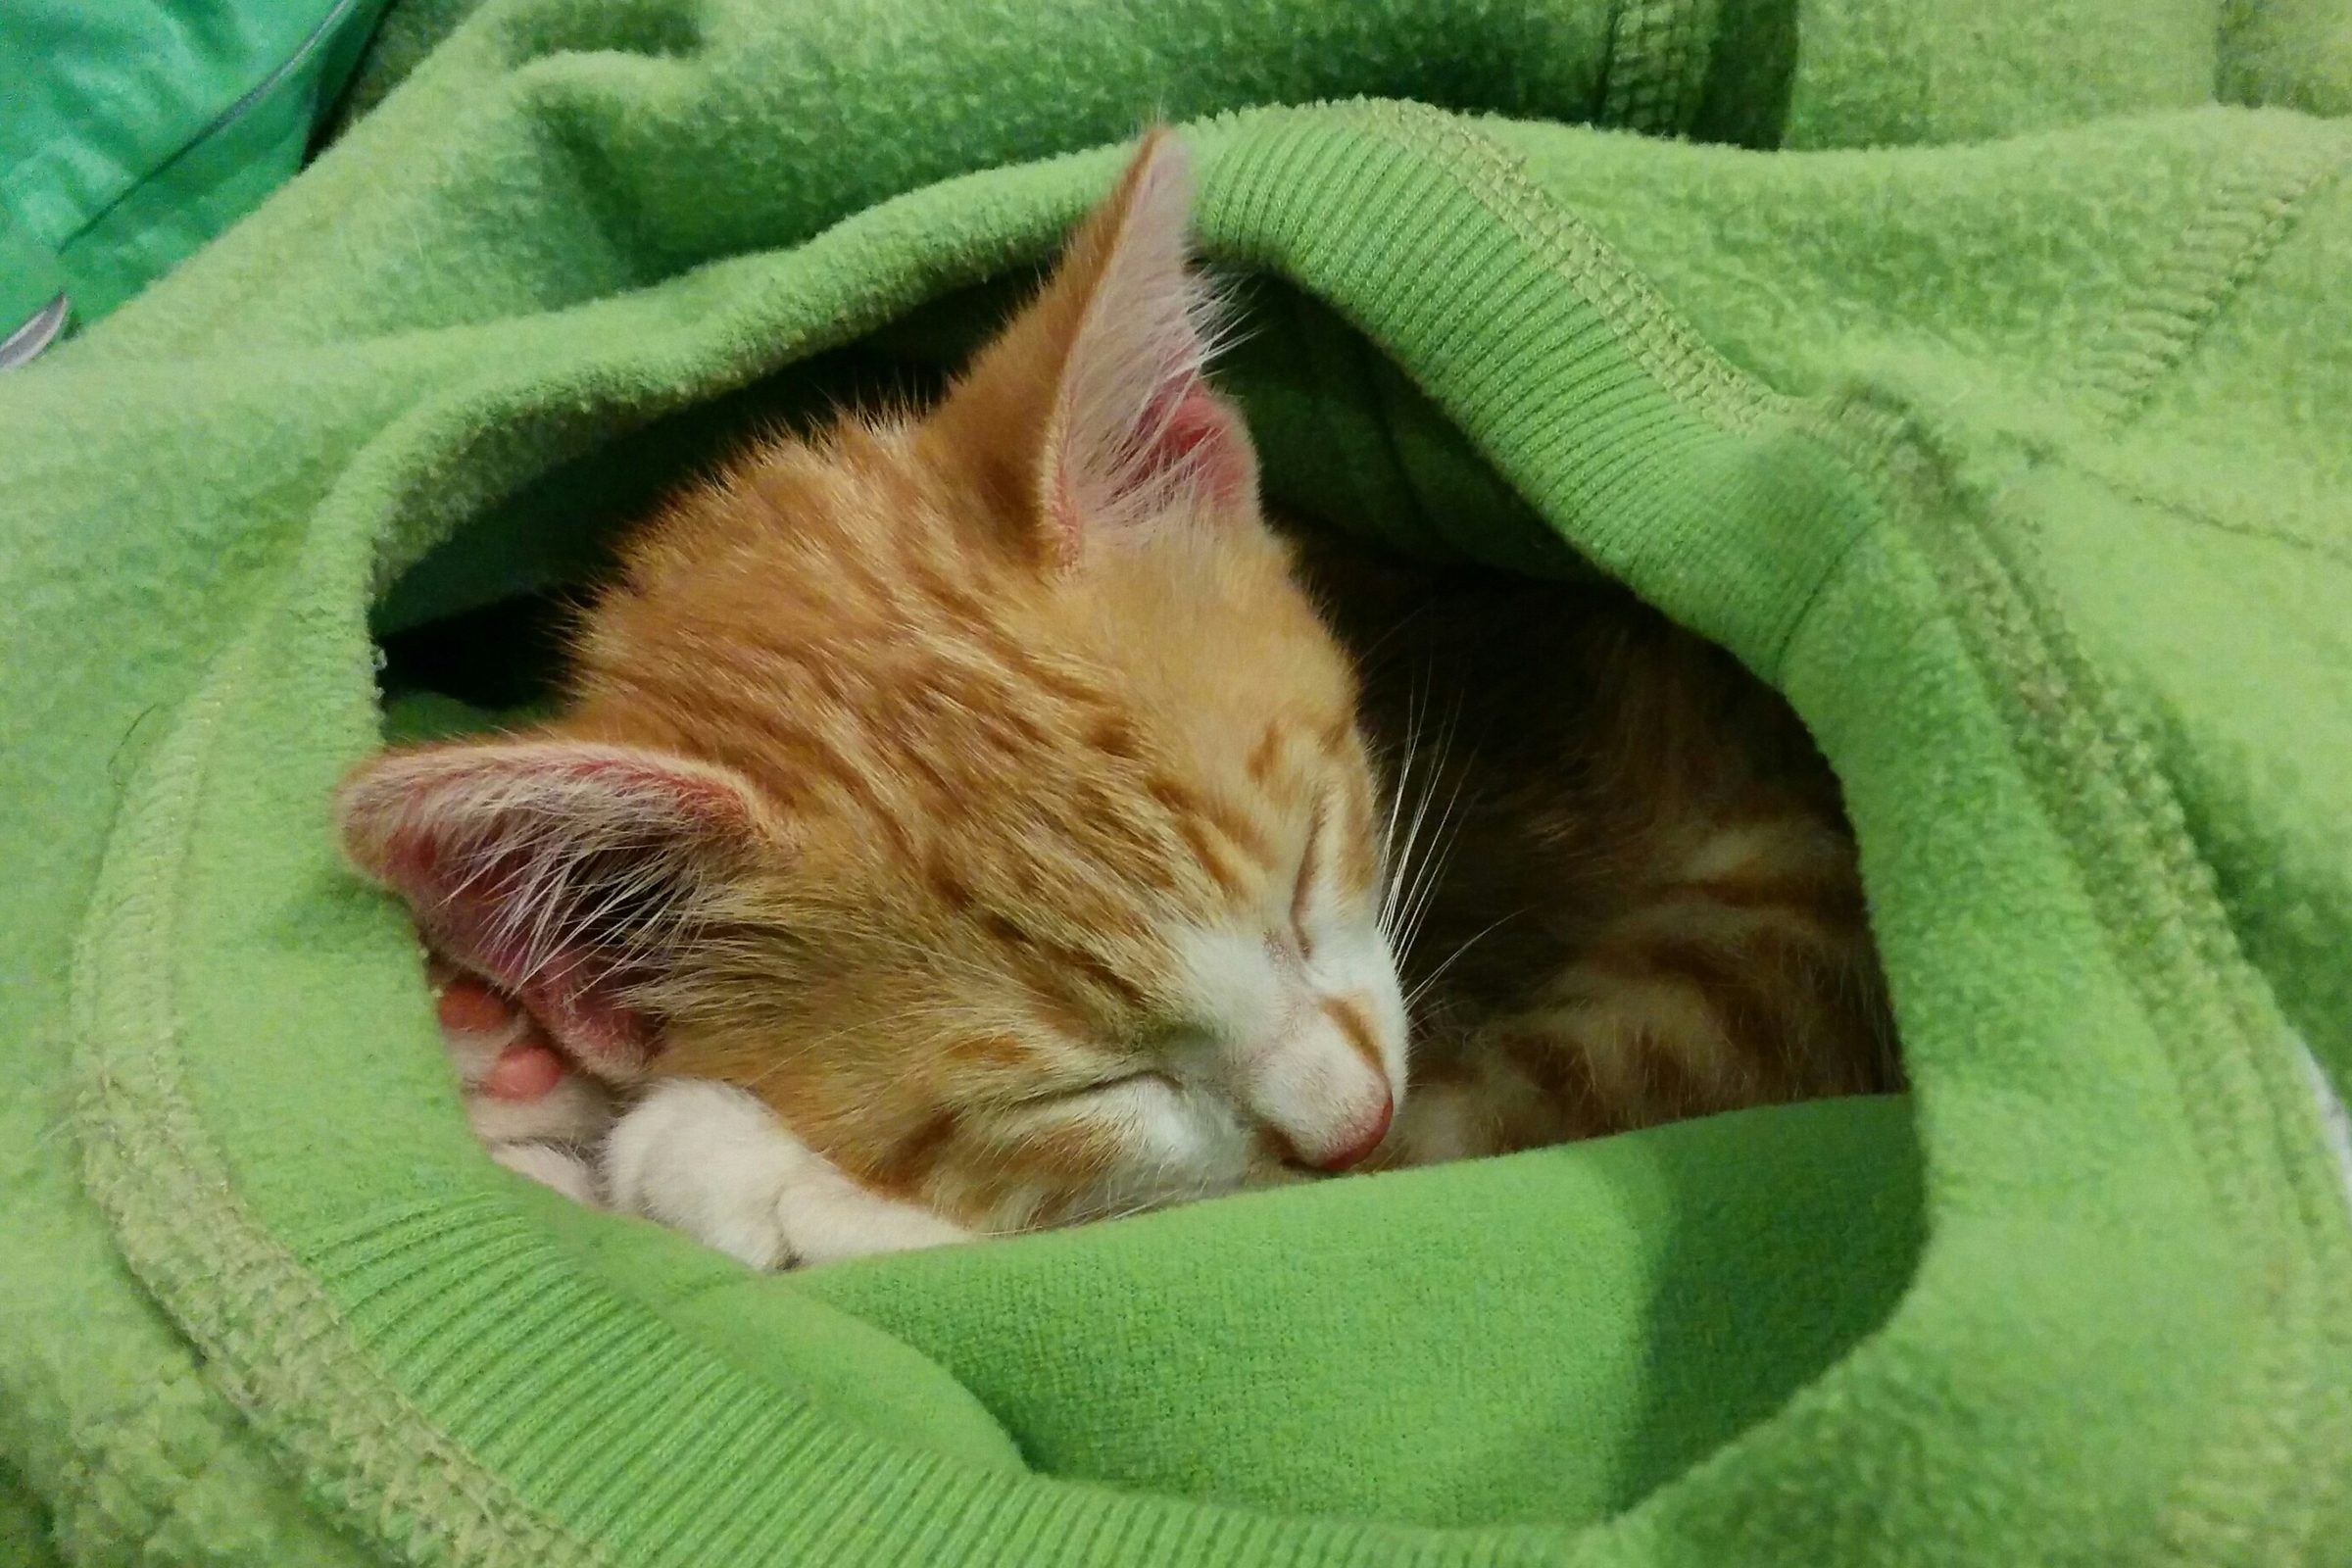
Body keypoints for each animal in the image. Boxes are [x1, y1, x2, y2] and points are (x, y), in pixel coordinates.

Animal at [343, 128, 1890, 1269]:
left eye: (1308, 863)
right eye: (1080, 1088)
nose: (1347, 1117)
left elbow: (1391, 1171)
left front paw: (720, 1159)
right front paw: (511, 1055)